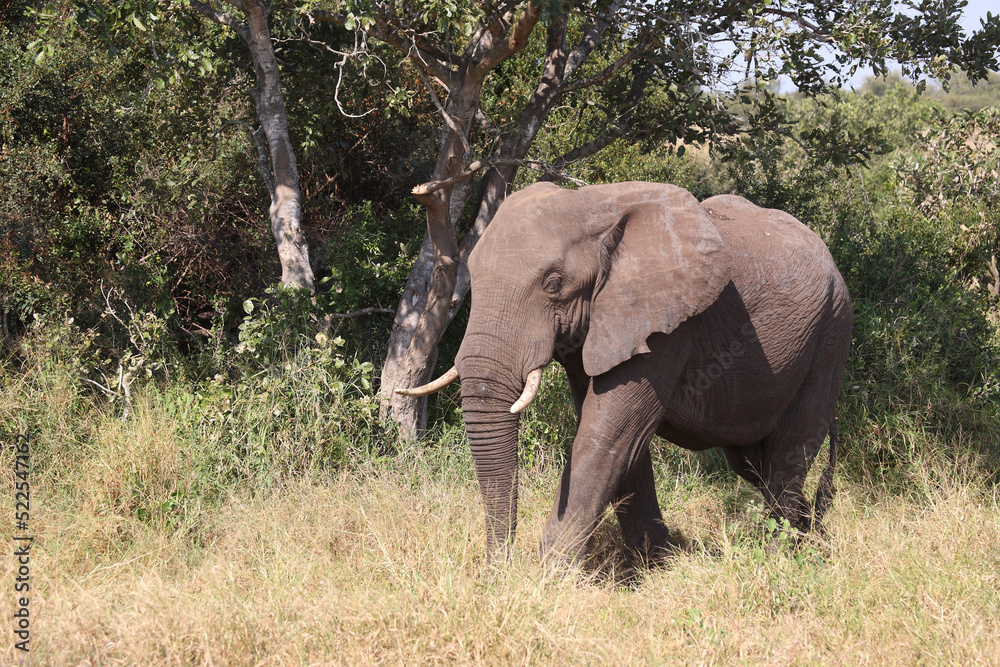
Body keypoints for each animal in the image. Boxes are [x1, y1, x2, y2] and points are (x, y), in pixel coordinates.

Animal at [398, 180, 852, 568]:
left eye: (553, 283)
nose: (500, 570)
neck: (592, 206)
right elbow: (620, 439)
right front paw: (657, 567)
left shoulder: (666, 325)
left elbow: (607, 436)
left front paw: (551, 580)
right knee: (753, 462)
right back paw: (811, 537)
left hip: (830, 334)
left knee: (790, 452)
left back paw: (780, 558)